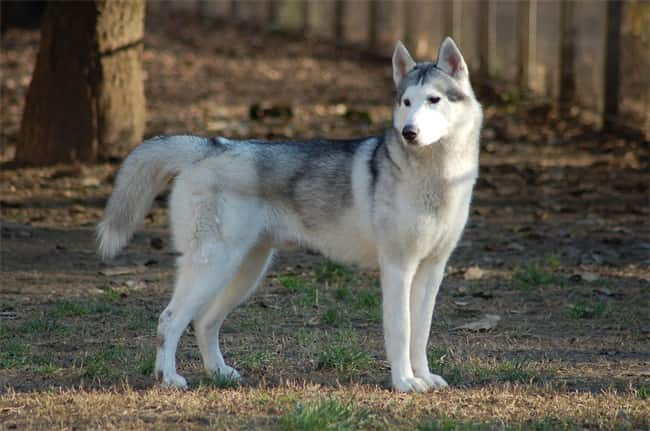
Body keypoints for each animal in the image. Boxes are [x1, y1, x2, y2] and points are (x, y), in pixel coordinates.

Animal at [97, 38, 480, 394]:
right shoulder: (397, 268)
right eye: (406, 103)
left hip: (246, 270)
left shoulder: (432, 270)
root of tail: (210, 146)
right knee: (170, 319)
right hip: (213, 266)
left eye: (434, 100)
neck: (437, 178)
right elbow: (401, 332)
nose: (409, 133)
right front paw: (404, 381)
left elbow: (420, 332)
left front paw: (423, 376)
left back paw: (219, 372)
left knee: (204, 321)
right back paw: (168, 378)